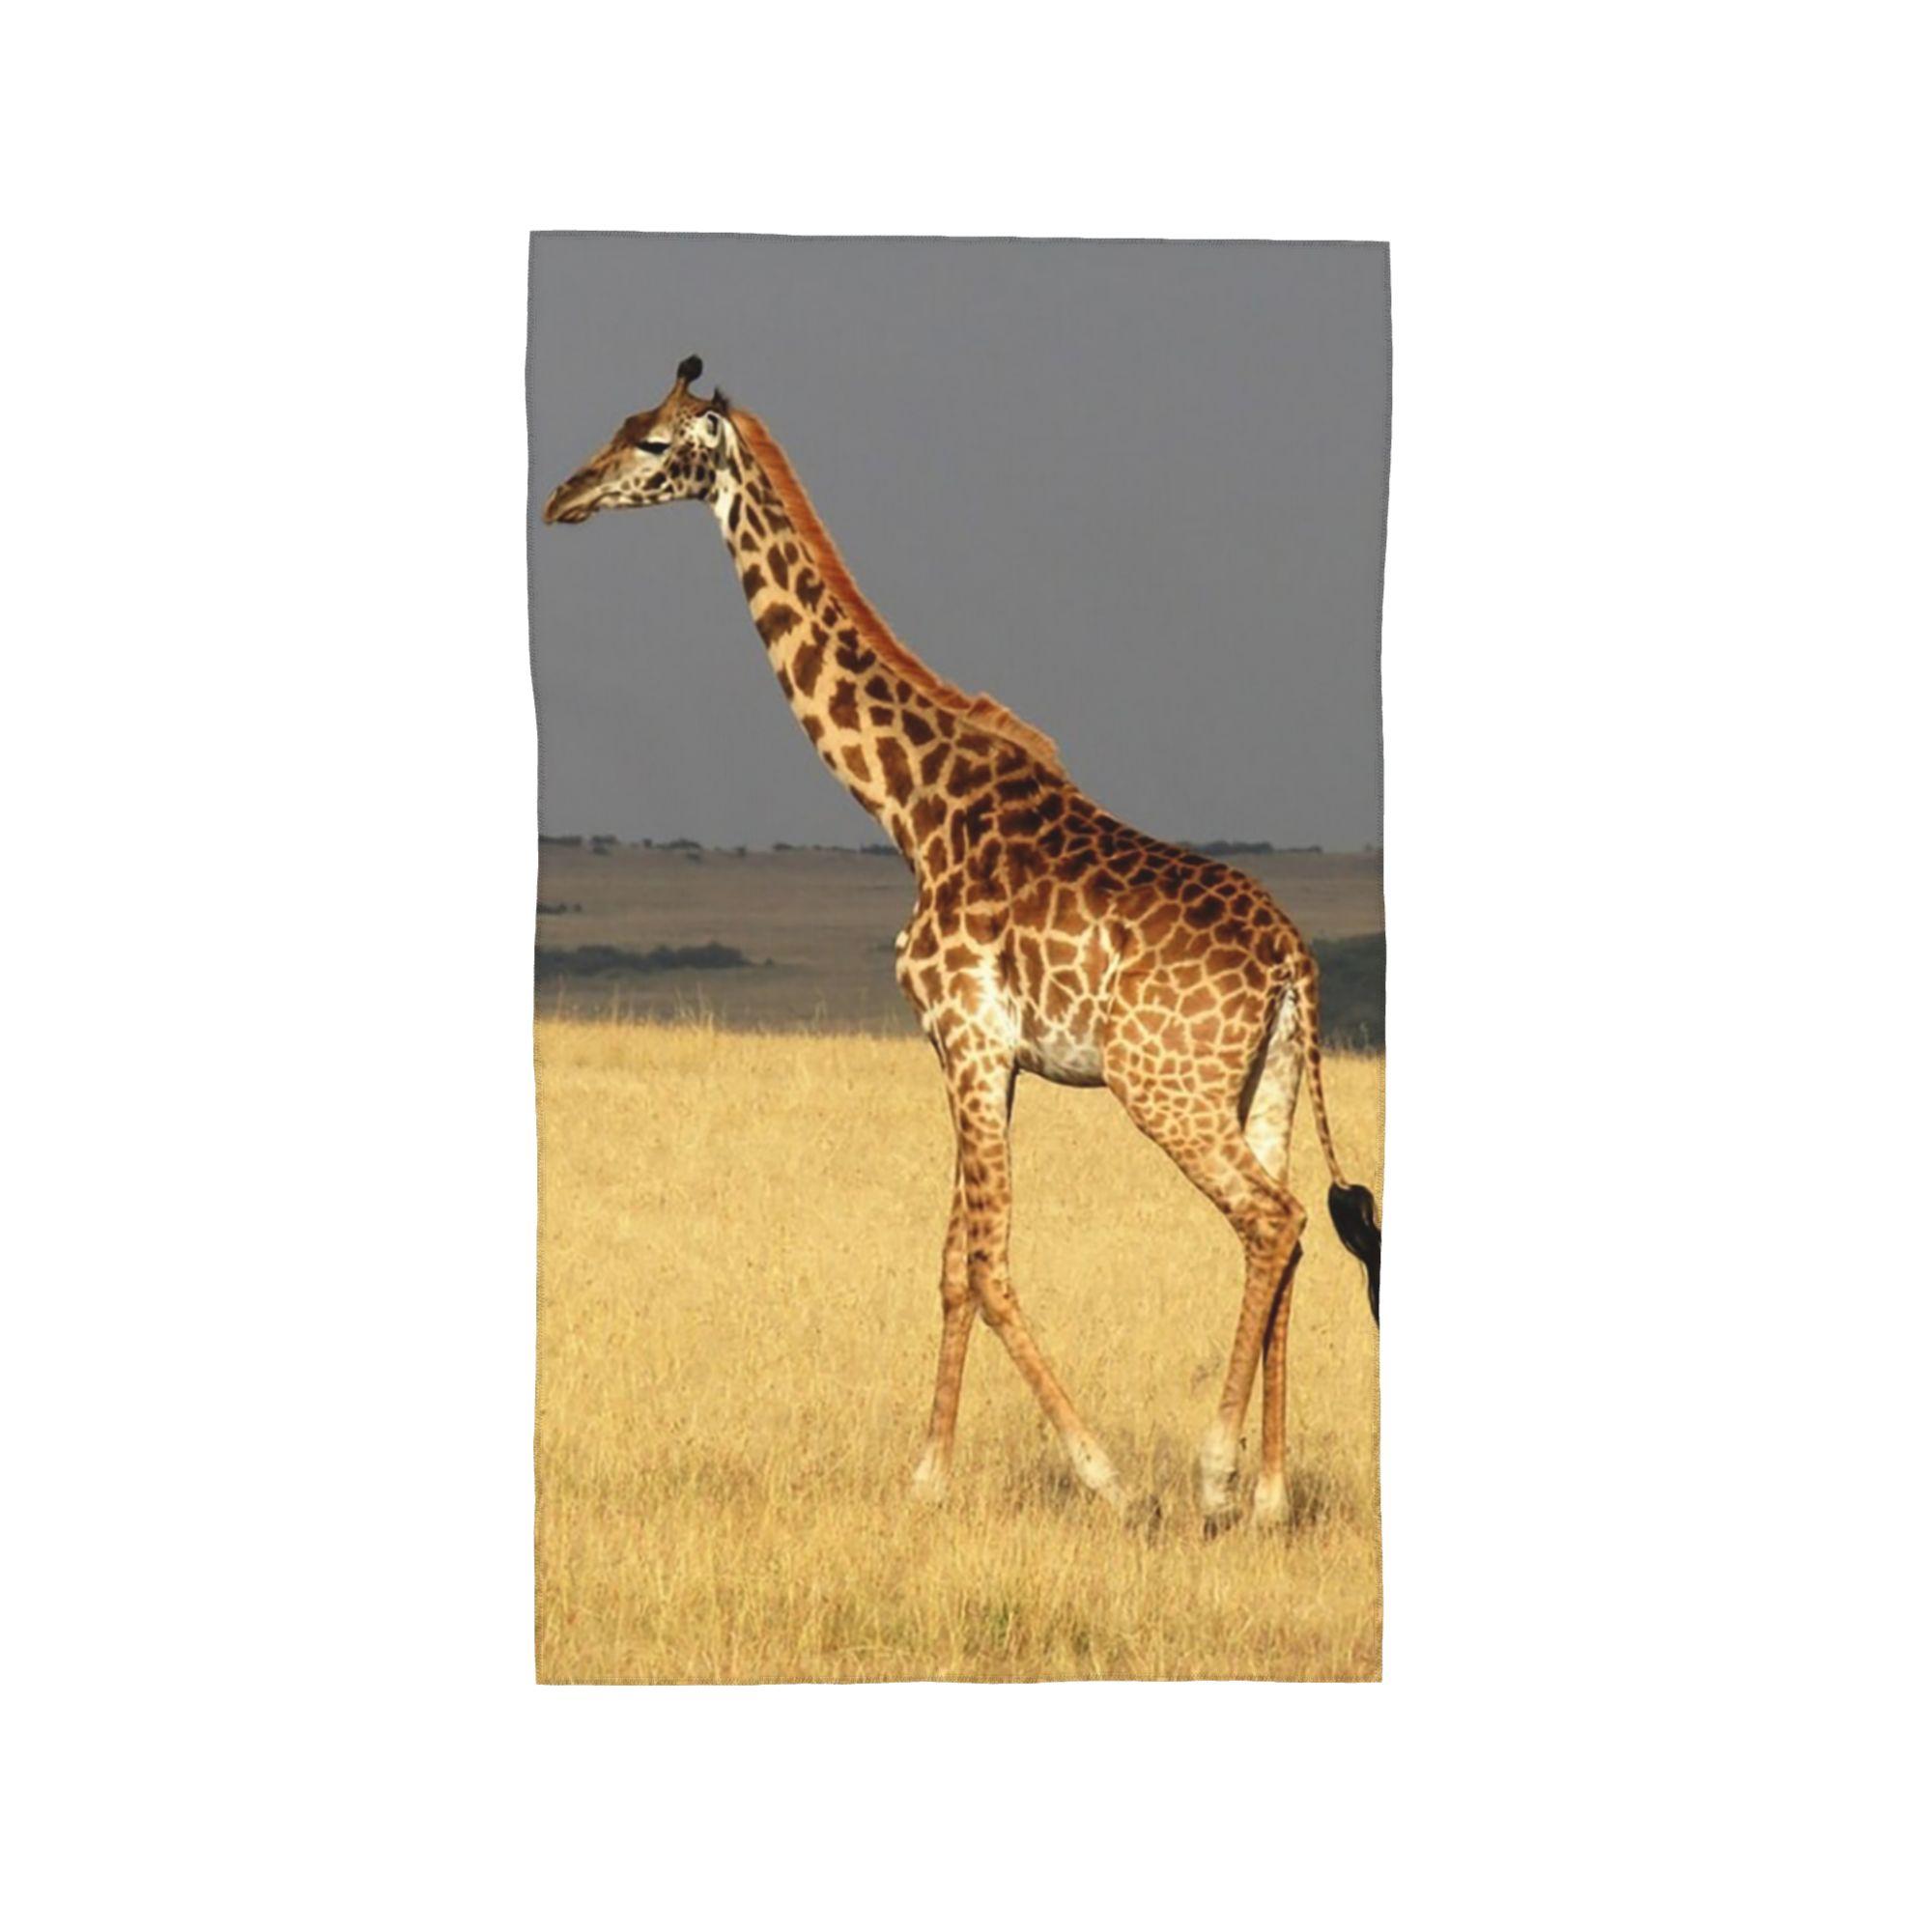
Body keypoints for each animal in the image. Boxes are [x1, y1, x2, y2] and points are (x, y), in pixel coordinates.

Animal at [544, 356, 1381, 1529]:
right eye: (620, 424)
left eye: (656, 443)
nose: (560, 497)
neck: (908, 805)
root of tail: (1293, 963)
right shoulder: (975, 1051)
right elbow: (951, 1264)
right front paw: (927, 1476)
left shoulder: (969, 1038)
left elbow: (986, 1262)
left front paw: (1104, 1475)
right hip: (1262, 1086)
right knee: (1291, 1233)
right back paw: (1265, 1493)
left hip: (1160, 1085)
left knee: (1271, 1219)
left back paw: (1211, 1472)